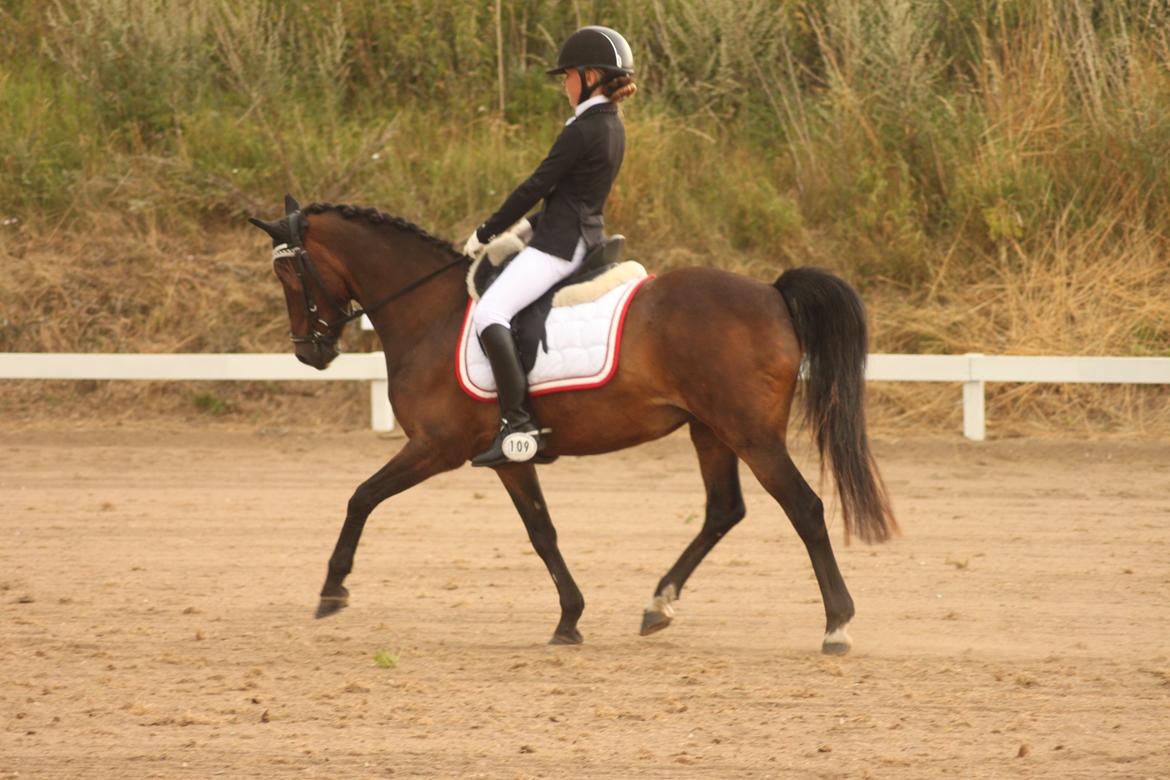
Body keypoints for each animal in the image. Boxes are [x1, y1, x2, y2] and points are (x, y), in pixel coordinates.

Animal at [249, 195, 897, 654]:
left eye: (290, 278)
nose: (310, 353)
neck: (429, 312)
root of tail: (771, 292)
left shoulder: (436, 447)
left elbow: (361, 497)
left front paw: (332, 589)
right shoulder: (508, 457)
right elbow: (542, 532)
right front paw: (569, 619)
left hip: (750, 434)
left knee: (804, 508)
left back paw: (837, 626)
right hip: (710, 430)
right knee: (723, 511)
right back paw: (658, 605)